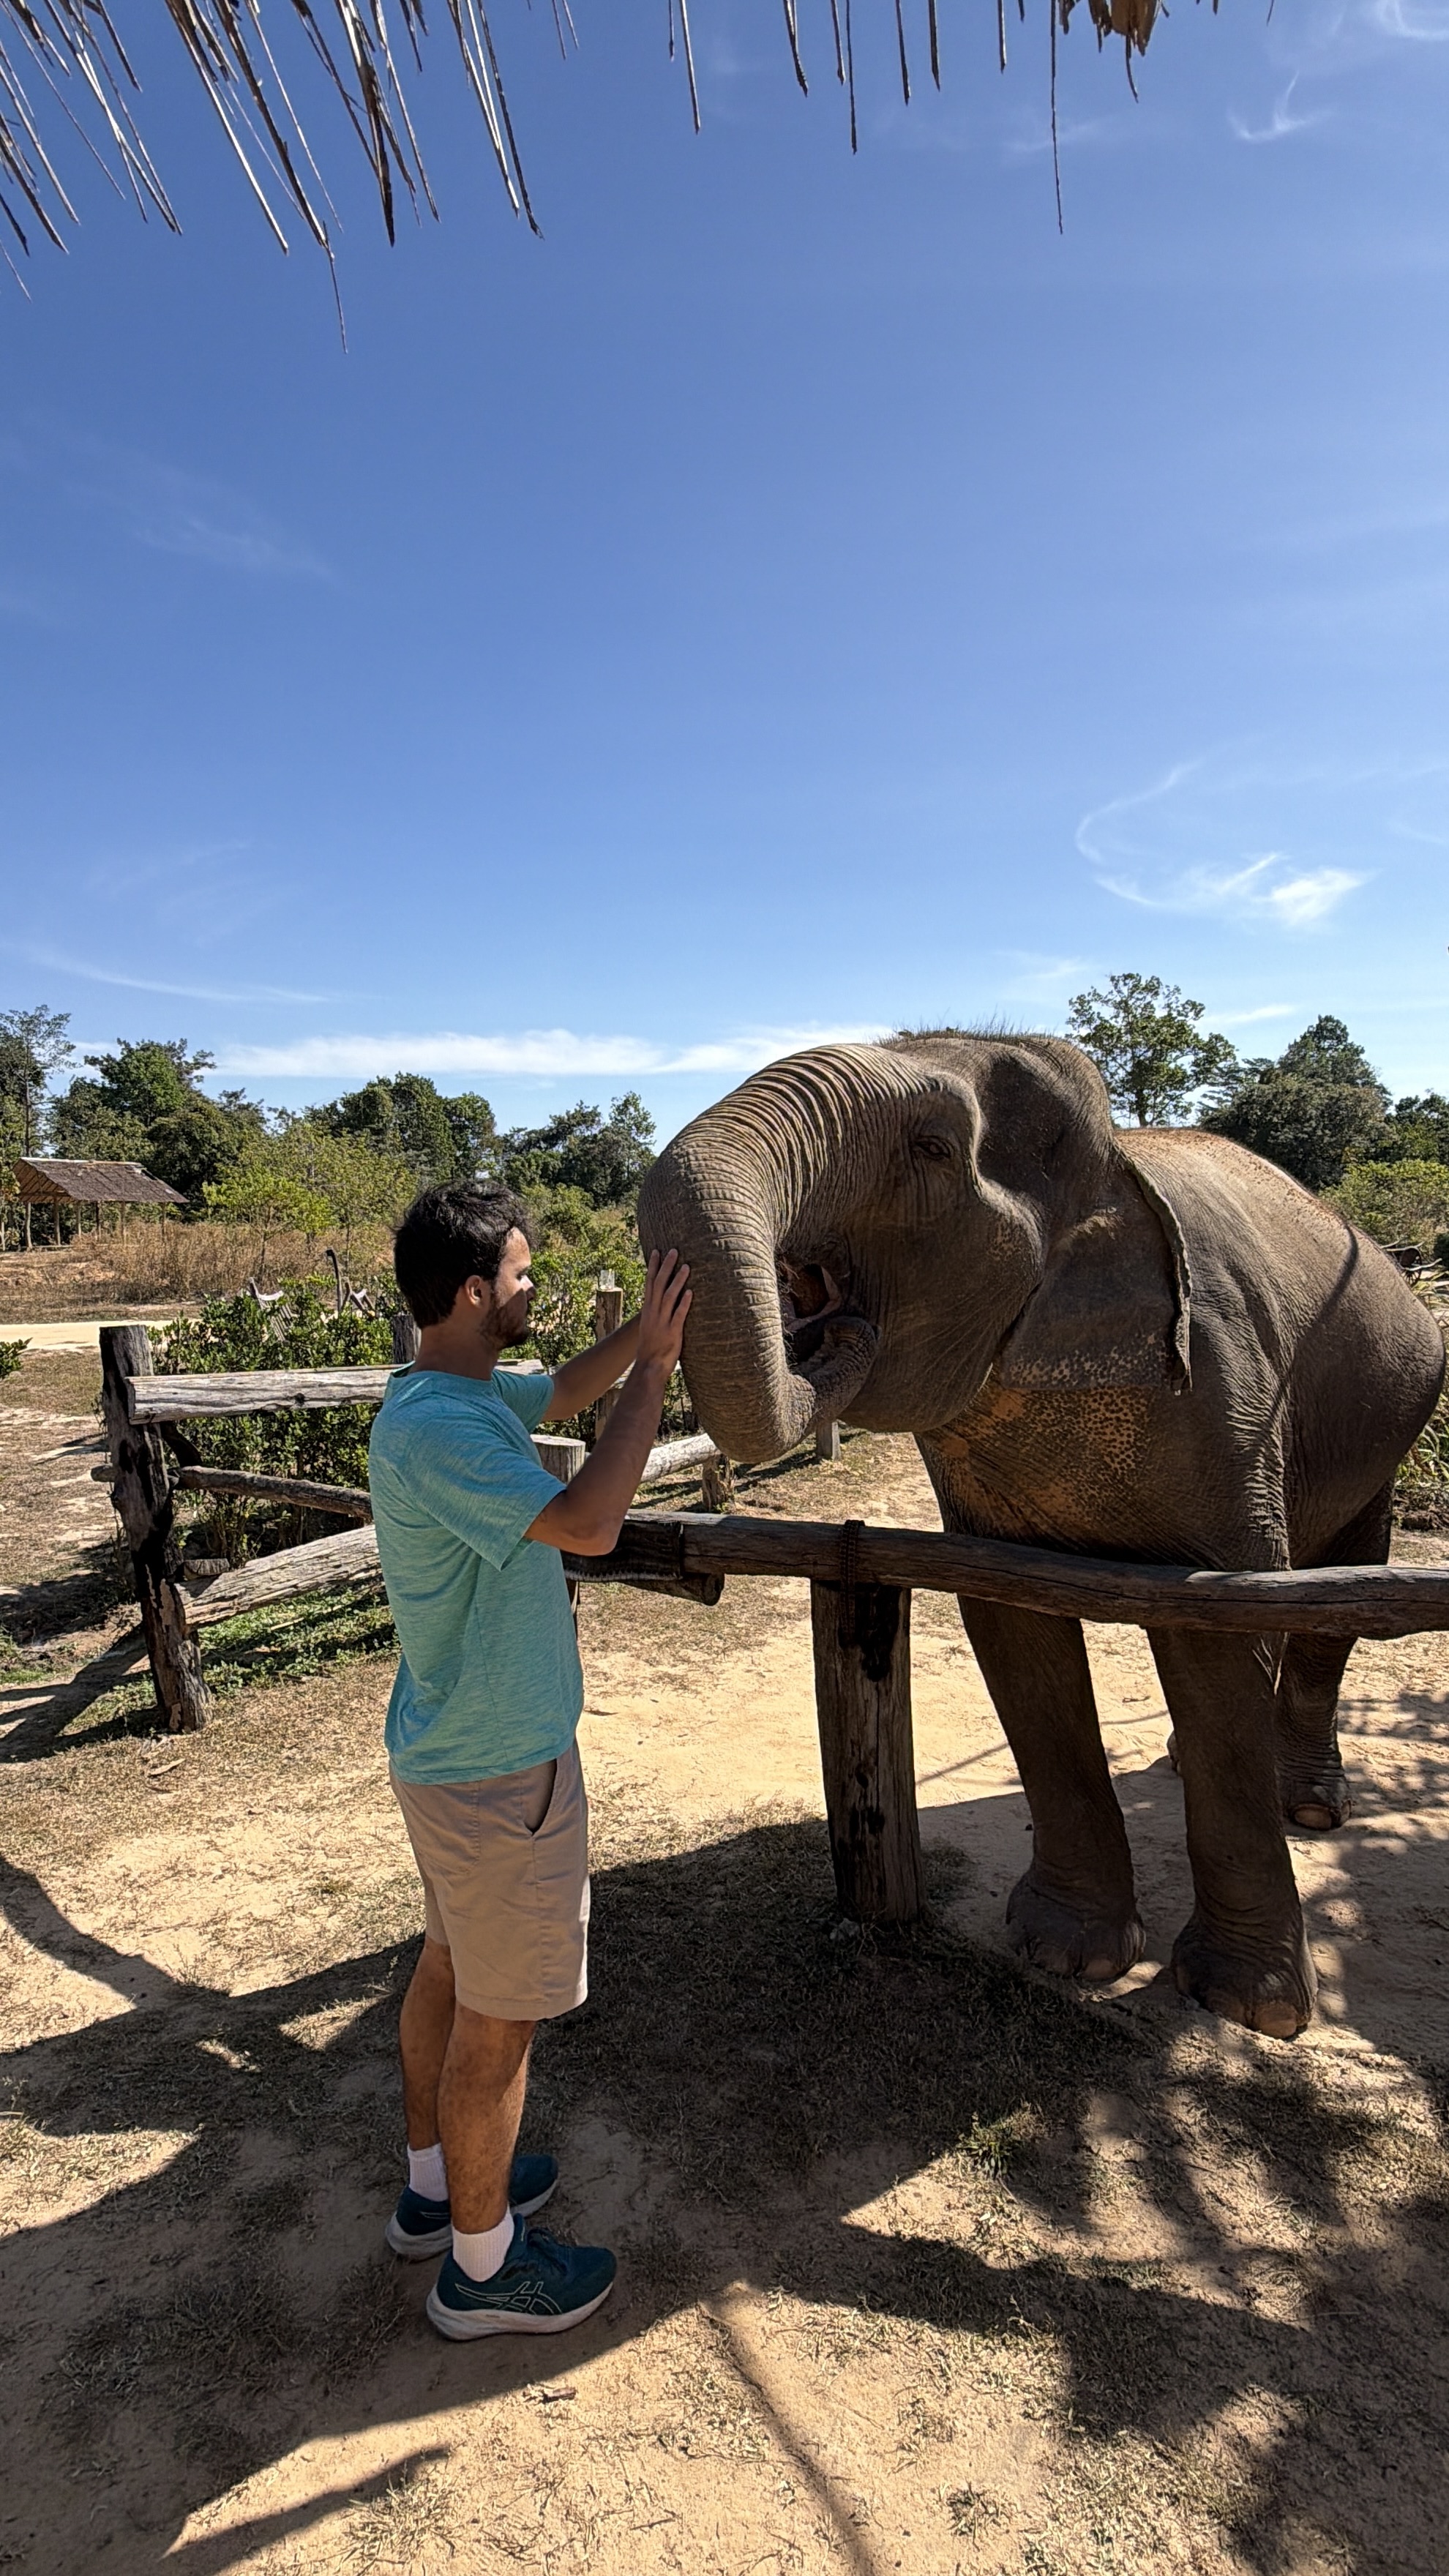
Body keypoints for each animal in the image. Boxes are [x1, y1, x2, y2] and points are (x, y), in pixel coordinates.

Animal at [638, 1033, 1446, 2039]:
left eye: (934, 1149)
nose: (831, 1329)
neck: (1113, 1173)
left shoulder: (1232, 1402)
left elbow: (1222, 1645)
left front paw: (1248, 2006)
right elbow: (1017, 1633)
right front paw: (1068, 1953)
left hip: (1389, 1423)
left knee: (1341, 1588)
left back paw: (1312, 1805)